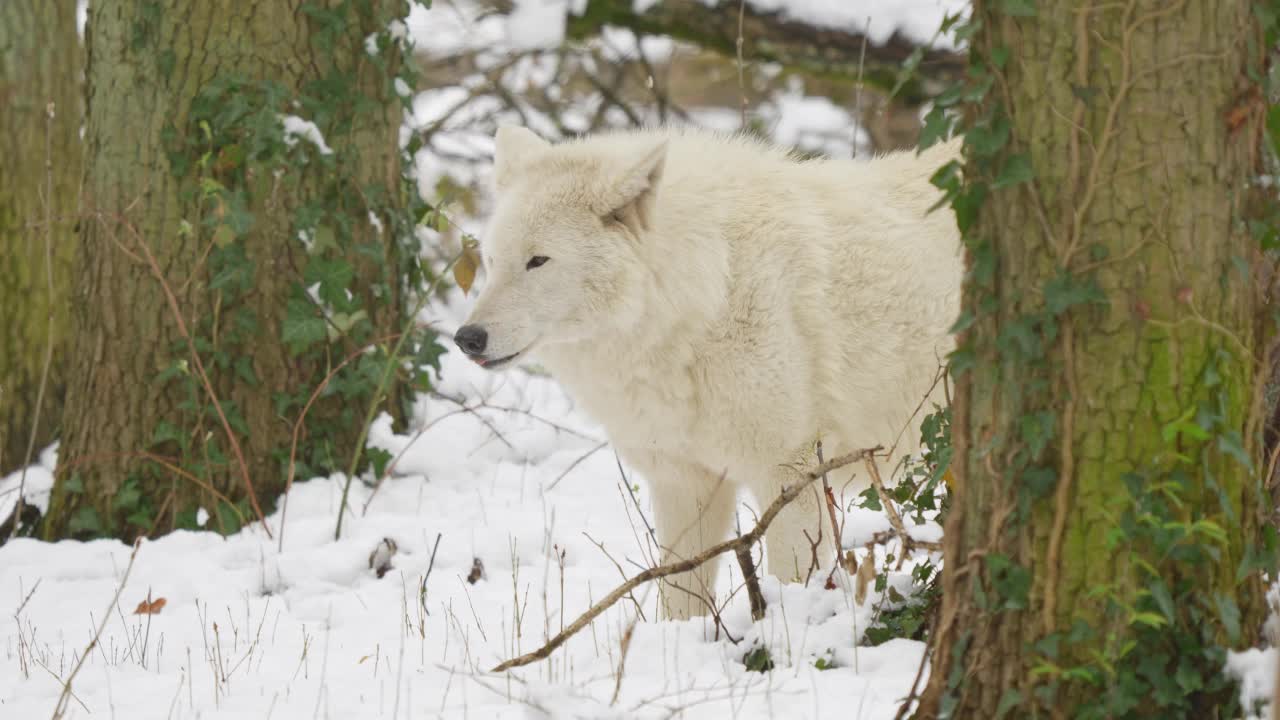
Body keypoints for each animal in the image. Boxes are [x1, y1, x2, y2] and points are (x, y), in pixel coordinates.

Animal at [460, 124, 962, 617]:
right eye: (491, 260)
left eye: (537, 260)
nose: (467, 338)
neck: (704, 296)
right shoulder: (684, 483)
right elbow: (680, 601)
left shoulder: (790, 473)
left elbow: (796, 587)